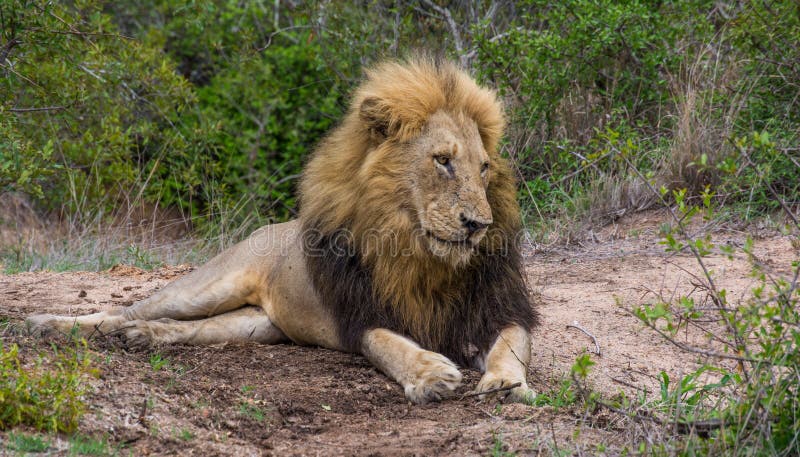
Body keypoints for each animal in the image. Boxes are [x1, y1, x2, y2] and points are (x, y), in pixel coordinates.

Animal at [26, 57, 538, 404]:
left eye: (484, 167)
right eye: (442, 161)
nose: (478, 224)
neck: (419, 255)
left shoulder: (495, 309)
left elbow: (512, 345)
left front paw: (506, 381)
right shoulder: (362, 316)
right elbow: (392, 346)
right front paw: (431, 374)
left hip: (256, 324)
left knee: (186, 328)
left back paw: (146, 337)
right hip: (207, 286)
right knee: (124, 310)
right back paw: (50, 324)